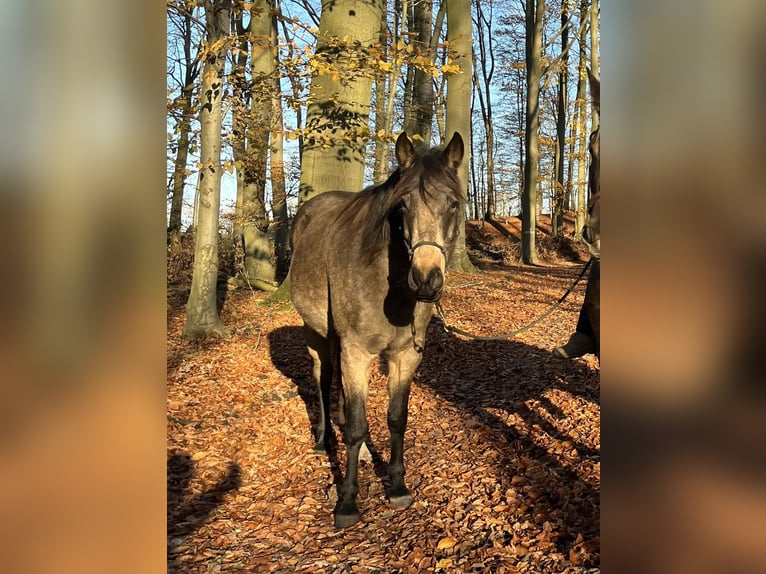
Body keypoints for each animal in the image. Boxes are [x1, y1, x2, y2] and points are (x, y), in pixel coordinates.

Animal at [289, 132, 464, 528]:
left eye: (454, 205)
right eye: (402, 207)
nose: (427, 280)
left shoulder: (405, 356)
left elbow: (396, 420)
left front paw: (397, 486)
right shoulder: (356, 352)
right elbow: (355, 427)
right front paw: (347, 502)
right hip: (316, 336)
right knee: (323, 380)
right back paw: (323, 440)